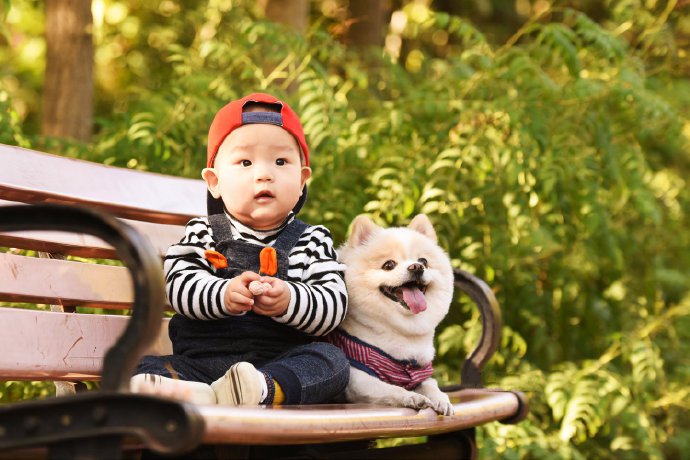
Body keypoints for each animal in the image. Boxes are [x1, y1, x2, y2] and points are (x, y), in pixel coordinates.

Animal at [326, 214, 454, 416]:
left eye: (424, 261)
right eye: (389, 265)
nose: (417, 266)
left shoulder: (421, 374)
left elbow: (431, 385)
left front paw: (441, 399)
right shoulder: (358, 380)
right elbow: (391, 389)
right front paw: (412, 397)